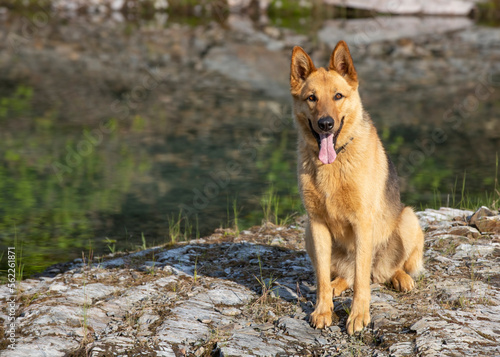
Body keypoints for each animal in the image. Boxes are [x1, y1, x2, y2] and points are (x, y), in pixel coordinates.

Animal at [292, 41, 424, 334]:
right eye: (311, 98)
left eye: (338, 96)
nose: (326, 124)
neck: (335, 162)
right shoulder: (316, 223)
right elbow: (321, 278)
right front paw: (323, 310)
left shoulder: (362, 222)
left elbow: (362, 280)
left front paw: (358, 316)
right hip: (308, 234)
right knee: (345, 275)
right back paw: (336, 285)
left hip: (408, 219)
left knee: (387, 269)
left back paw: (401, 278)